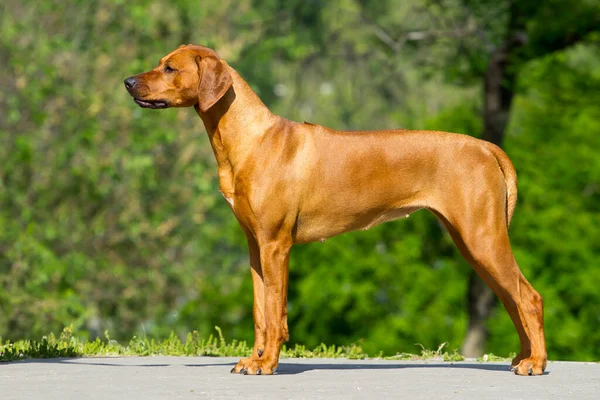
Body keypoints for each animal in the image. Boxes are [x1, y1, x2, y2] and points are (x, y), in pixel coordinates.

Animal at [124, 43, 548, 376]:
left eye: (169, 67)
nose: (128, 82)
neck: (251, 138)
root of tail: (485, 146)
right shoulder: (255, 247)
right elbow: (261, 312)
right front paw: (254, 359)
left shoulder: (276, 246)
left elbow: (275, 313)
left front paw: (267, 363)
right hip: (473, 243)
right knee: (512, 298)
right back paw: (522, 358)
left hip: (482, 237)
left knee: (528, 298)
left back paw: (536, 363)